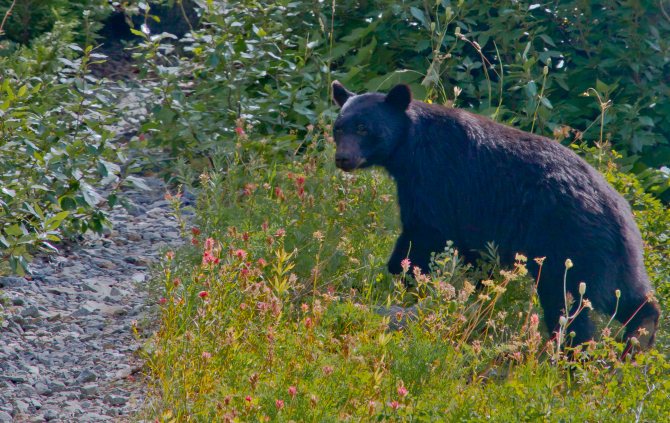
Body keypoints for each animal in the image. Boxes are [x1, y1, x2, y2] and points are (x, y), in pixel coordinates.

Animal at [331, 80, 660, 348]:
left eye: (363, 128)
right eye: (339, 127)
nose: (343, 158)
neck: (408, 147)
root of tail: (620, 212)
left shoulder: (436, 178)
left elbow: (425, 233)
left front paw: (402, 278)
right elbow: (474, 257)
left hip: (568, 243)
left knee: (567, 304)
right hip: (614, 257)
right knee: (630, 297)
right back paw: (636, 341)